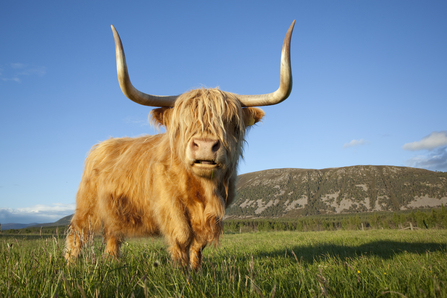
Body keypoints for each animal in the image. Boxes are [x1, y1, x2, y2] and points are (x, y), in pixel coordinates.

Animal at [65, 19, 296, 268]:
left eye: (231, 122)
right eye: (183, 123)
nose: (205, 146)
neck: (202, 191)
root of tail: (102, 144)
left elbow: (199, 244)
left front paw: (196, 270)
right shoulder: (170, 206)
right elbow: (182, 236)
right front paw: (180, 270)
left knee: (112, 235)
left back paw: (113, 263)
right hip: (87, 207)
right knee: (77, 233)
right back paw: (70, 265)